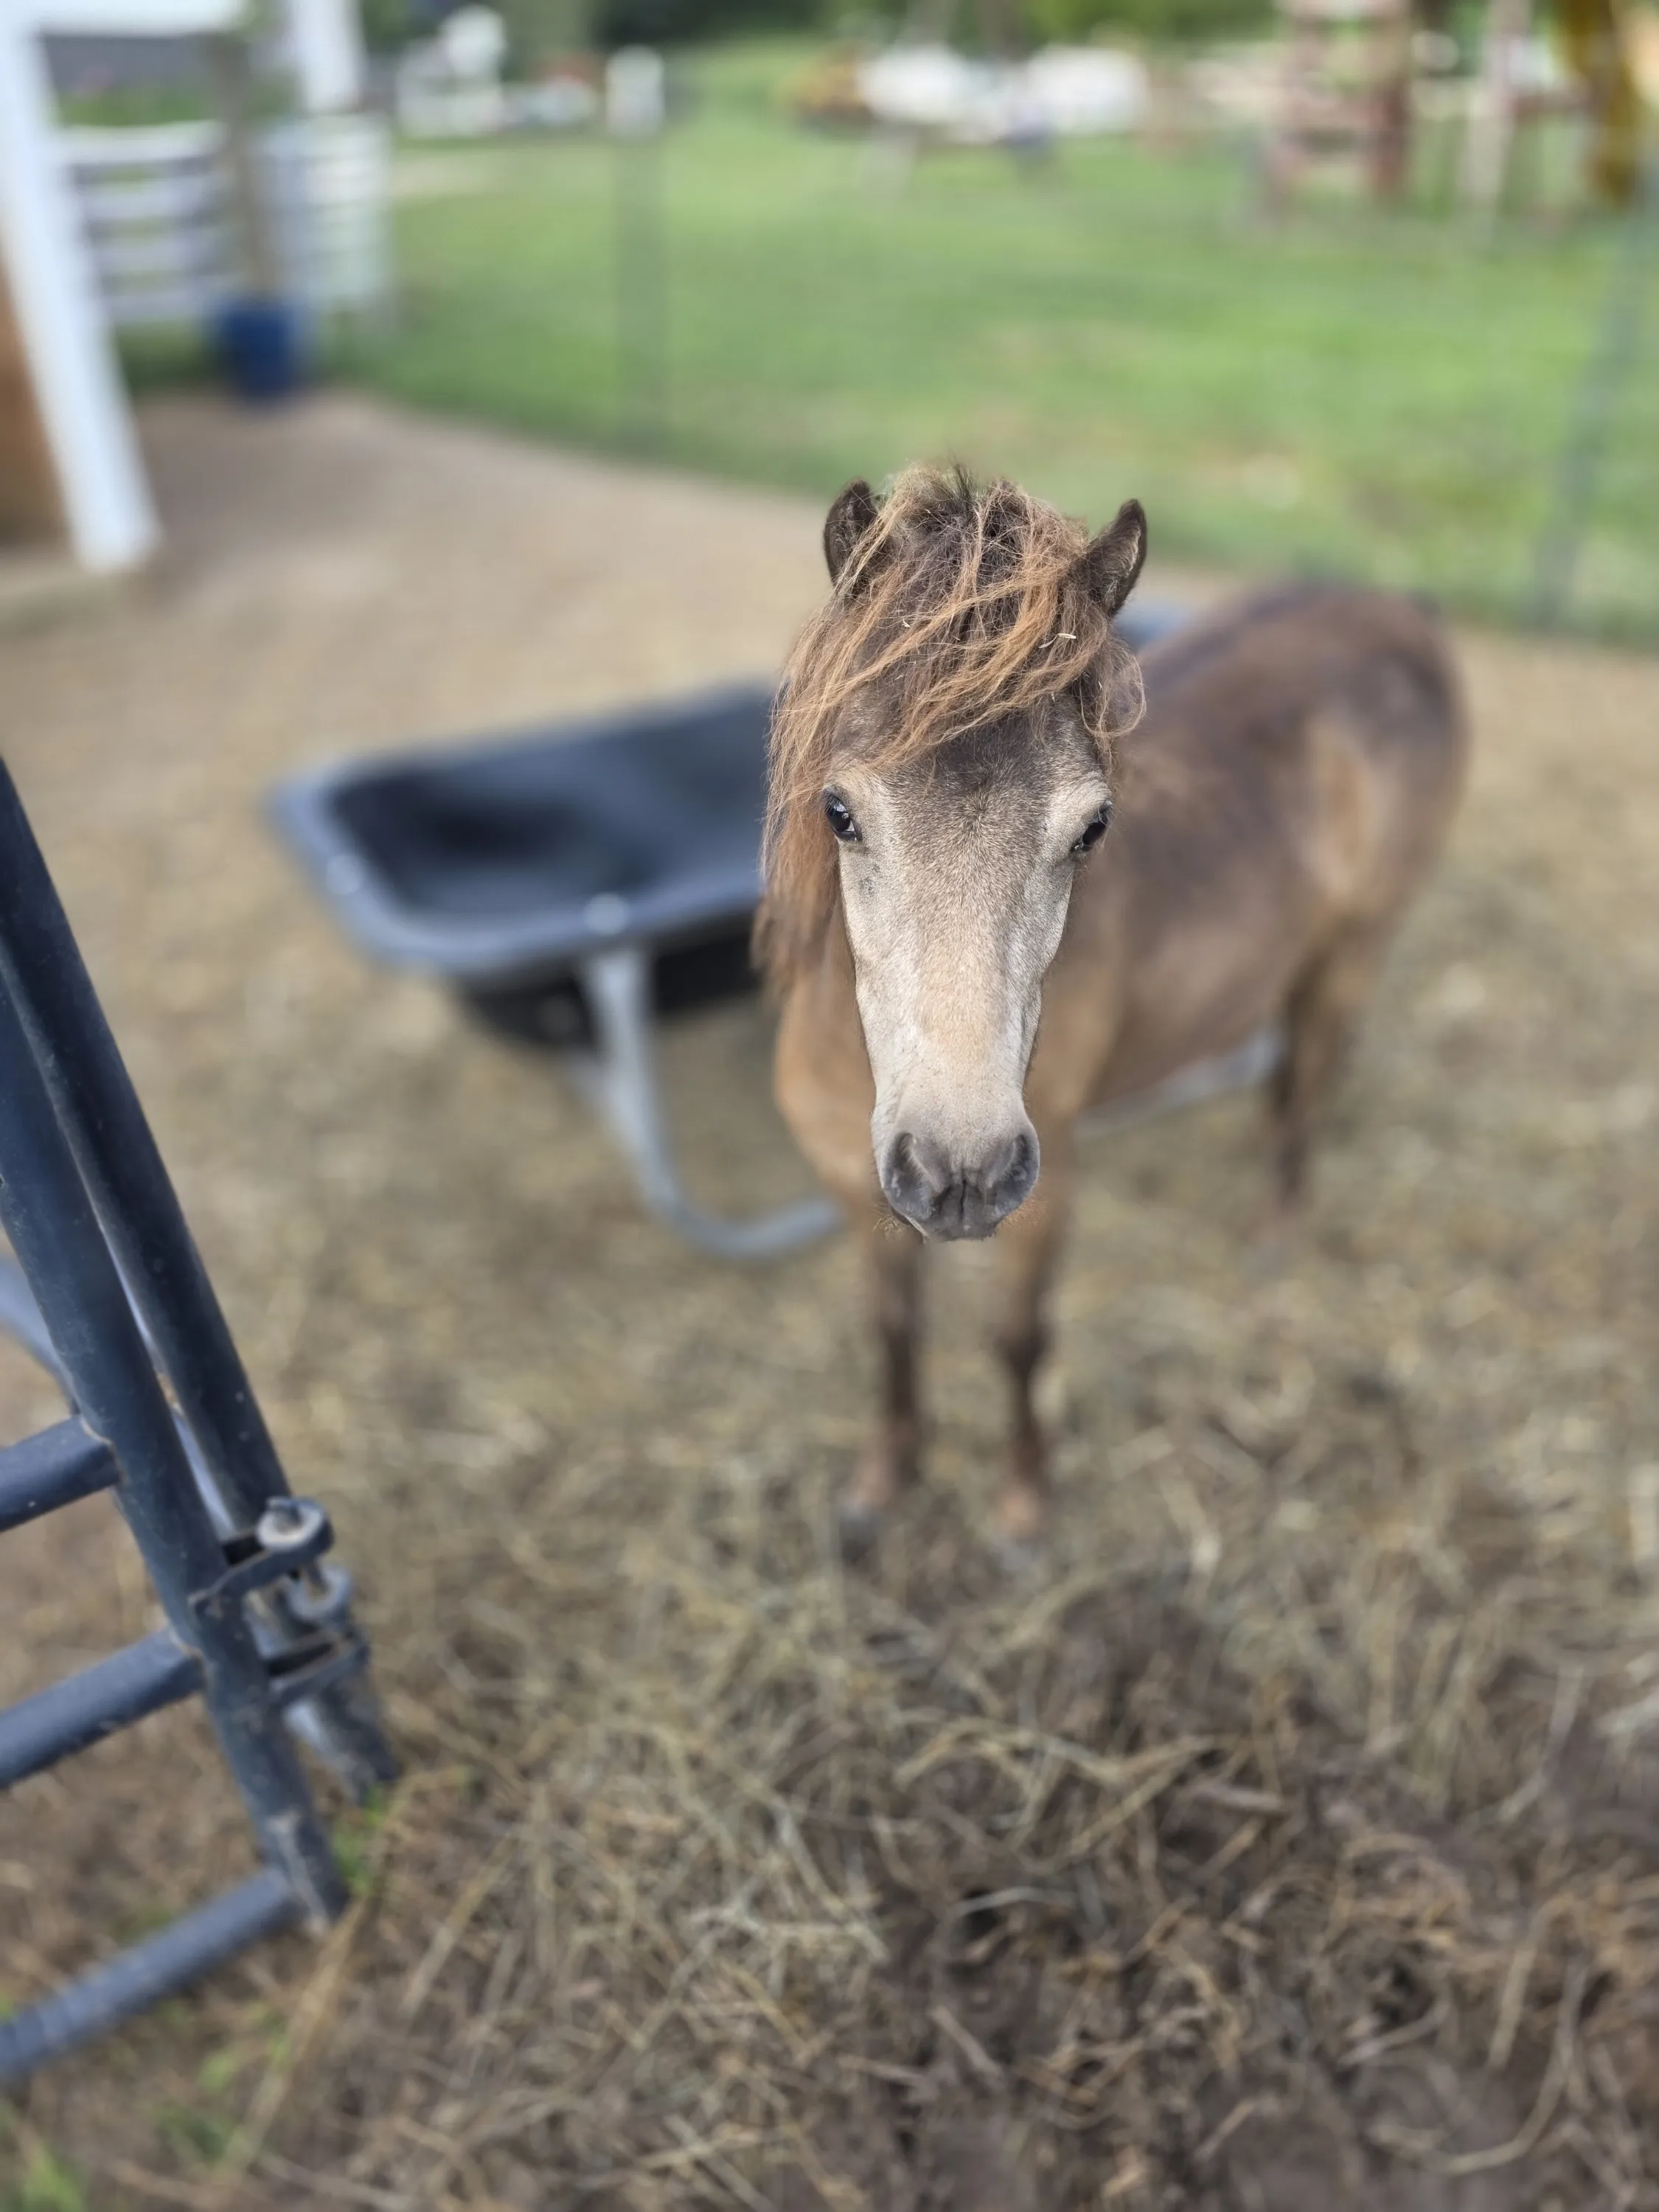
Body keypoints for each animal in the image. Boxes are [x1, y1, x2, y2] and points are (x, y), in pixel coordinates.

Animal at [758, 466, 1468, 1554]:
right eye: (838, 812)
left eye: (1091, 829)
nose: (960, 1174)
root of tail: (1399, 612)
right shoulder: (854, 1190)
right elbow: (891, 1330)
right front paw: (883, 1481)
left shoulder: (1044, 1196)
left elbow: (1020, 1340)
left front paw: (1021, 1506)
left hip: (1355, 949)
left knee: (1314, 1081)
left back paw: (1271, 1236)